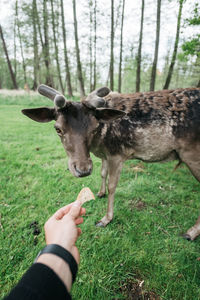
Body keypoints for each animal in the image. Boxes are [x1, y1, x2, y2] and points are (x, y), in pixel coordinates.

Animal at [21, 84, 200, 241]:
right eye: (57, 128)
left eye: (94, 127)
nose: (83, 169)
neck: (99, 142)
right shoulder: (105, 155)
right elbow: (102, 173)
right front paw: (100, 193)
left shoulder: (117, 153)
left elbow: (112, 185)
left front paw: (105, 219)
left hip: (192, 154)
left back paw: (190, 233)